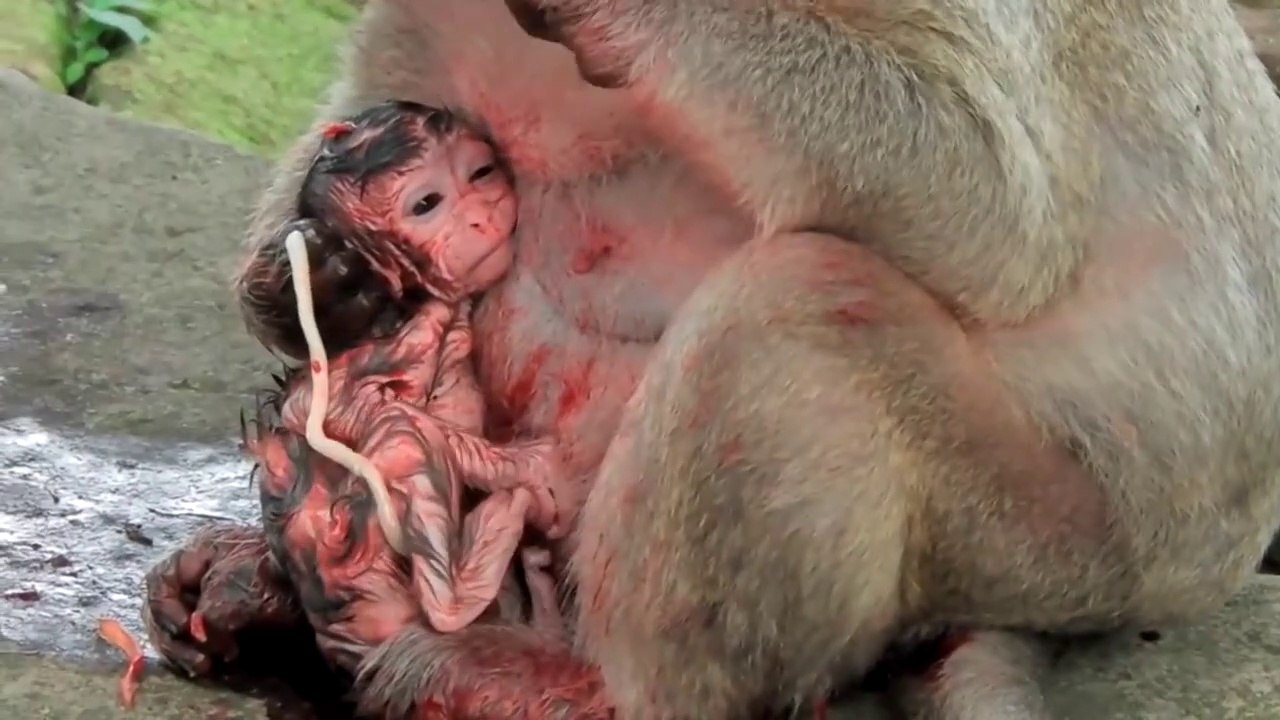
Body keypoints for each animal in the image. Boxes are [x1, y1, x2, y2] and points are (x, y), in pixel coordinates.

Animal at [143, 1, 1280, 718]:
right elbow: (384, 108)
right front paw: (325, 268)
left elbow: (994, 208)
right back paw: (279, 585)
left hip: (1052, 539)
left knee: (796, 307)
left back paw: (578, 688)